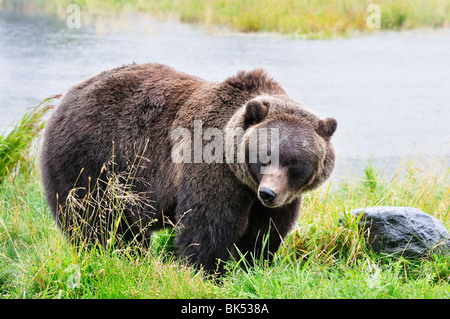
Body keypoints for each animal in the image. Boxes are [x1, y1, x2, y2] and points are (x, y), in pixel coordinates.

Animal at [40, 63, 336, 276]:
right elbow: (208, 225)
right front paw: (208, 272)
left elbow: (266, 232)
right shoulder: (212, 164)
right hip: (92, 160)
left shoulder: (281, 196)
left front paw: (254, 265)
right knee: (95, 218)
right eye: (264, 155)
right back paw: (113, 254)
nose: (268, 193)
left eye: (294, 162)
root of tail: (64, 99)